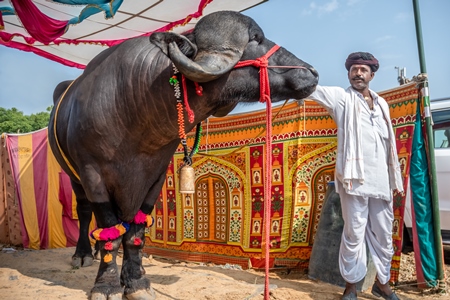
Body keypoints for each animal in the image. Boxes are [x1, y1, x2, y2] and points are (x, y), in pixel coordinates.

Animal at [47, 9, 318, 300]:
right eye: (256, 38)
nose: (312, 72)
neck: (134, 106)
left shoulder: (155, 175)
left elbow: (135, 233)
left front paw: (136, 281)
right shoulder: (92, 173)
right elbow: (111, 230)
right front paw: (106, 285)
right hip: (74, 177)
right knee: (86, 211)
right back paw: (83, 254)